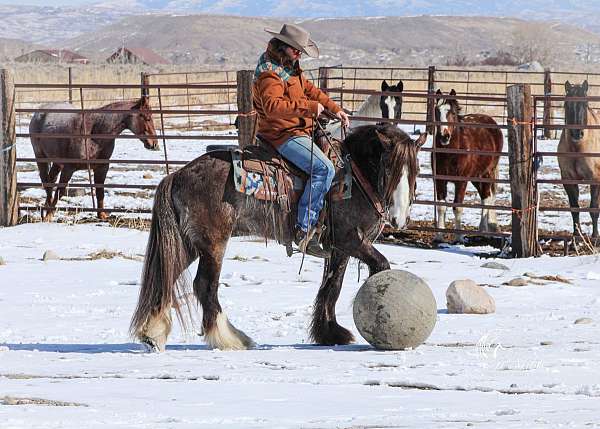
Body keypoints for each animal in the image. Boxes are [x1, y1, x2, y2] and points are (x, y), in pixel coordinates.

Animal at [29, 97, 159, 221]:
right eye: (147, 118)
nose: (154, 144)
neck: (93, 132)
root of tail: (39, 112)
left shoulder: (102, 168)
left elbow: (100, 191)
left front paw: (101, 215)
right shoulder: (69, 168)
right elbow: (60, 191)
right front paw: (49, 215)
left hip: (57, 162)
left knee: (51, 179)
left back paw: (46, 206)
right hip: (41, 157)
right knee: (46, 181)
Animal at [434, 88, 504, 241]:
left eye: (453, 113)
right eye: (437, 112)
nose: (444, 136)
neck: (451, 153)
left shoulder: (461, 181)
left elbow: (457, 207)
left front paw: (459, 237)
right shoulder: (440, 179)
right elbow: (441, 207)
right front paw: (439, 236)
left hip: (487, 173)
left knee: (487, 198)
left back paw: (483, 230)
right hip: (476, 177)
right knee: (486, 196)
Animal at [556, 80, 600, 237]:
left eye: (585, 104)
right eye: (566, 105)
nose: (576, 133)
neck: (577, 148)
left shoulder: (595, 179)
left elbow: (594, 208)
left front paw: (595, 236)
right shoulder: (568, 179)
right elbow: (574, 207)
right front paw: (576, 234)